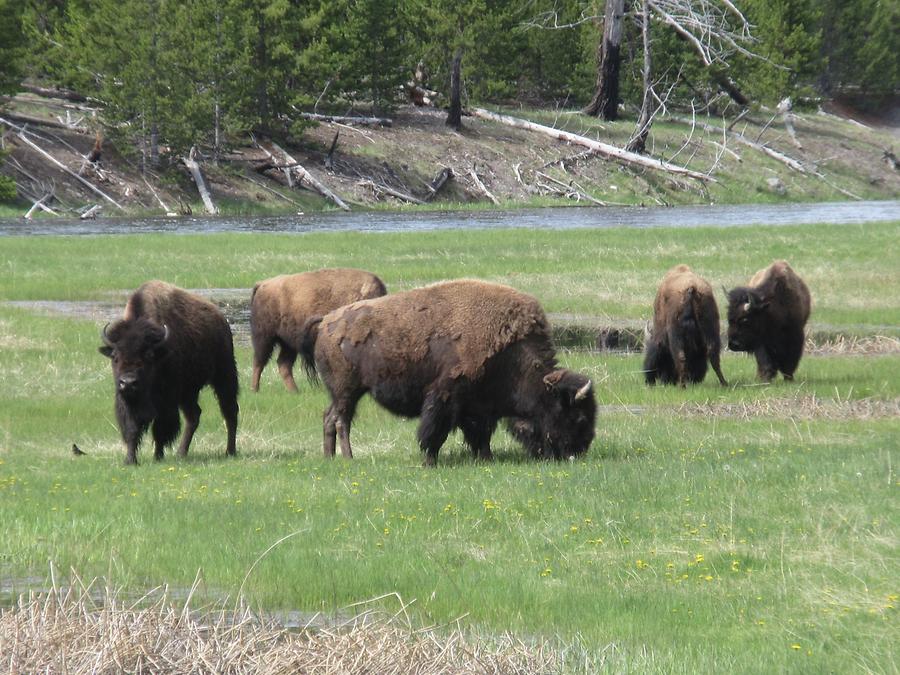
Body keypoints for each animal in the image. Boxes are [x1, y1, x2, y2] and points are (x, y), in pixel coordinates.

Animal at [99, 280, 239, 464]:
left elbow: (161, 428)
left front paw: (158, 457)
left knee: (229, 411)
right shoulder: (127, 401)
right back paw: (181, 453)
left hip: (224, 375)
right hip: (189, 392)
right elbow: (132, 428)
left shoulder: (167, 400)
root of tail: (222, 320)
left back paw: (230, 451)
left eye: (149, 356)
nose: (128, 383)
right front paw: (130, 460)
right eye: (115, 357)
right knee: (194, 416)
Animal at [250, 268, 386, 394]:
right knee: (259, 362)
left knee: (283, 364)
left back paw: (295, 391)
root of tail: (262, 284)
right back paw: (255, 390)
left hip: (288, 344)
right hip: (265, 337)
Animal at [302, 278, 596, 464]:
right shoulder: (445, 396)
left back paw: (330, 458)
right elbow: (435, 431)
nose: (580, 451)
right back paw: (348, 458)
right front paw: (430, 461)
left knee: (330, 417)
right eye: (578, 417)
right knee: (340, 420)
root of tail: (327, 320)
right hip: (347, 391)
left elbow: (480, 435)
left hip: (343, 393)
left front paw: (485, 458)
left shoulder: (479, 408)